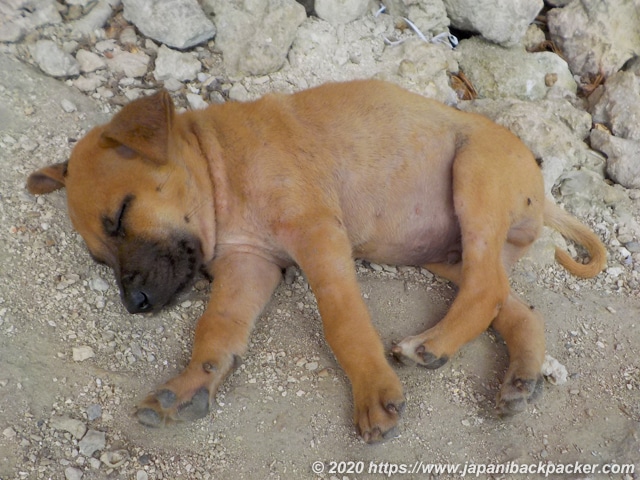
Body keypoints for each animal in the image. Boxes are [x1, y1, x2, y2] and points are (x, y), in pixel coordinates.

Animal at [26, 79, 604, 442]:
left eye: (123, 214)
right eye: (99, 258)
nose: (135, 304)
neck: (221, 170)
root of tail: (542, 189)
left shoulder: (318, 236)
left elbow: (343, 322)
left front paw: (373, 392)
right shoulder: (249, 264)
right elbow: (216, 330)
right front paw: (189, 385)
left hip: (474, 179)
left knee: (485, 290)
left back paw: (430, 346)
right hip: (446, 254)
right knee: (511, 303)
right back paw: (521, 376)